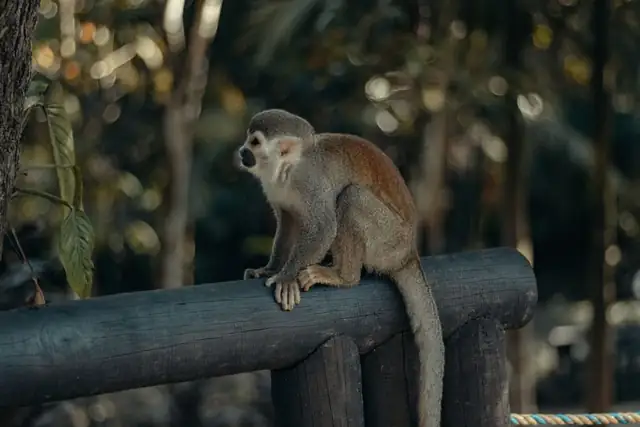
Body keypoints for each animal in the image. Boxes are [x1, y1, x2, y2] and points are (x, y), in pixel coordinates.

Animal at [236, 108, 444, 427]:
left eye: (255, 142)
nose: (242, 151)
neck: (287, 170)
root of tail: (409, 252)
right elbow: (288, 221)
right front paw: (270, 270)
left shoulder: (311, 183)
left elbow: (323, 226)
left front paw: (286, 277)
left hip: (388, 240)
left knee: (351, 197)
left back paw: (343, 276)